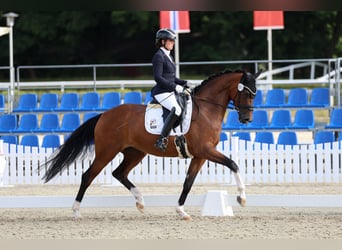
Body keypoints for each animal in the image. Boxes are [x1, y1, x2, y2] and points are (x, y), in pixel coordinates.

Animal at [44, 69, 260, 220]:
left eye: (255, 94)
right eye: (247, 94)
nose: (247, 119)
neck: (206, 110)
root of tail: (104, 115)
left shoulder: (200, 155)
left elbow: (188, 183)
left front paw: (181, 211)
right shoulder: (206, 150)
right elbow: (233, 164)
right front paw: (242, 198)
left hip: (135, 152)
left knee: (119, 173)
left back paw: (140, 201)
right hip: (107, 152)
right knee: (88, 176)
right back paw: (76, 212)